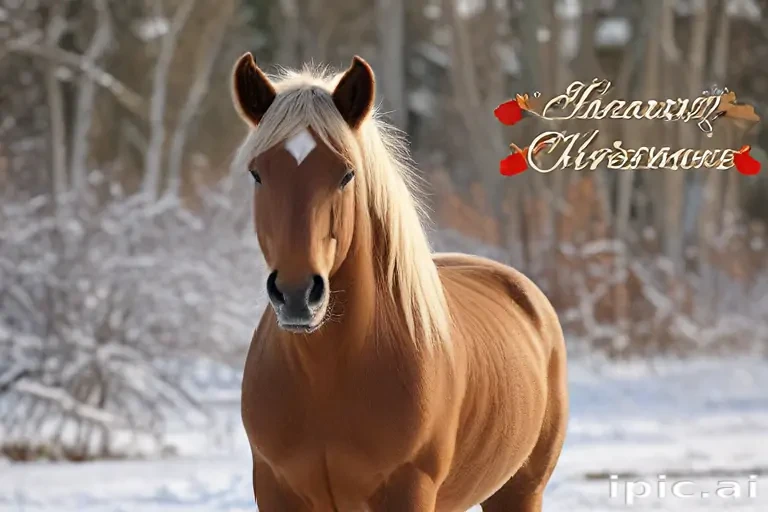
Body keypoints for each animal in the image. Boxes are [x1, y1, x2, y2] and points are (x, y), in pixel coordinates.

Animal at [231, 52, 569, 512]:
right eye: (257, 174)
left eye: (346, 174)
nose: (297, 295)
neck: (328, 375)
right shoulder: (274, 489)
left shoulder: (409, 489)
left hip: (521, 490)